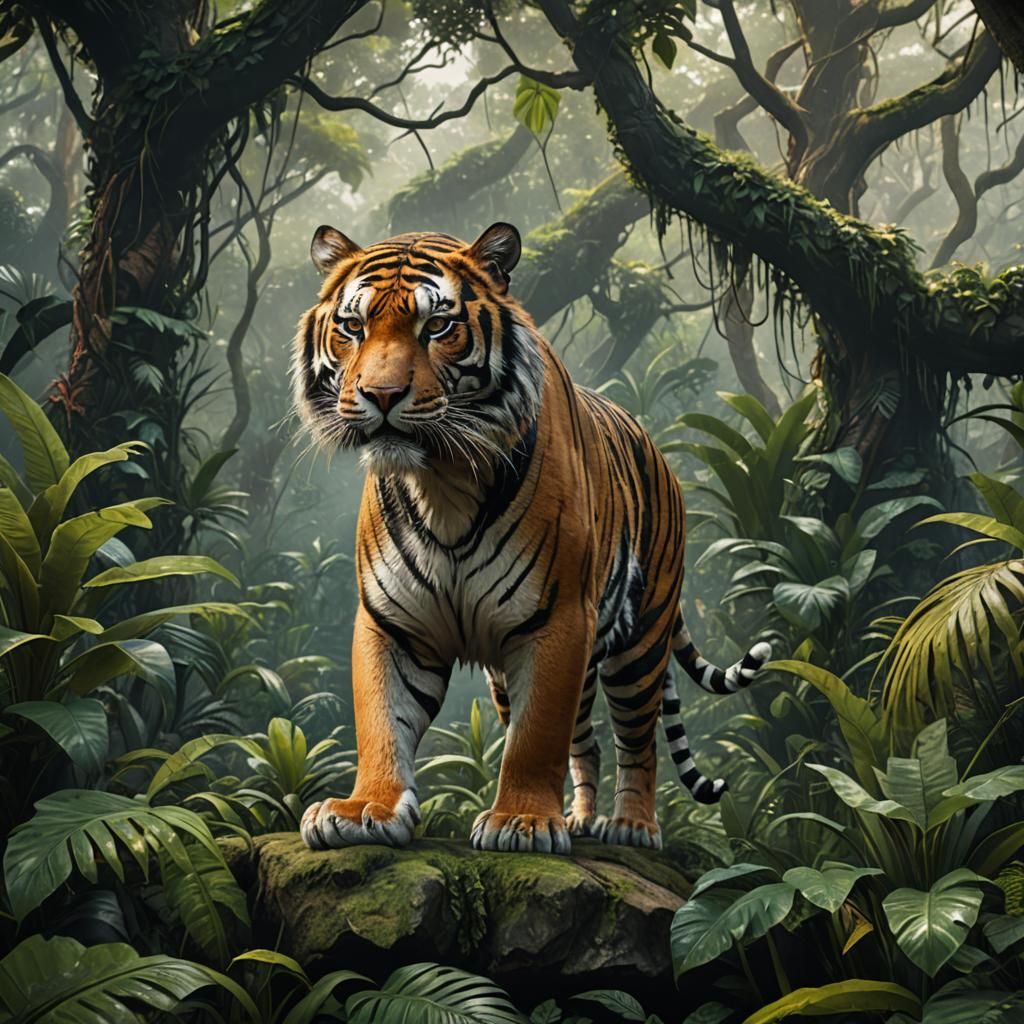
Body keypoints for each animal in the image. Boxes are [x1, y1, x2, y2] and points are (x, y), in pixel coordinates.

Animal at [293, 221, 771, 855]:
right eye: (353, 327)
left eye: (437, 326)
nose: (381, 395)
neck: (442, 481)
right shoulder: (391, 620)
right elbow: (381, 720)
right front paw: (364, 809)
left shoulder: (558, 618)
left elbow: (535, 735)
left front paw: (521, 821)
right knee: (587, 742)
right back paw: (583, 818)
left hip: (640, 643)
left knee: (637, 741)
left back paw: (632, 826)